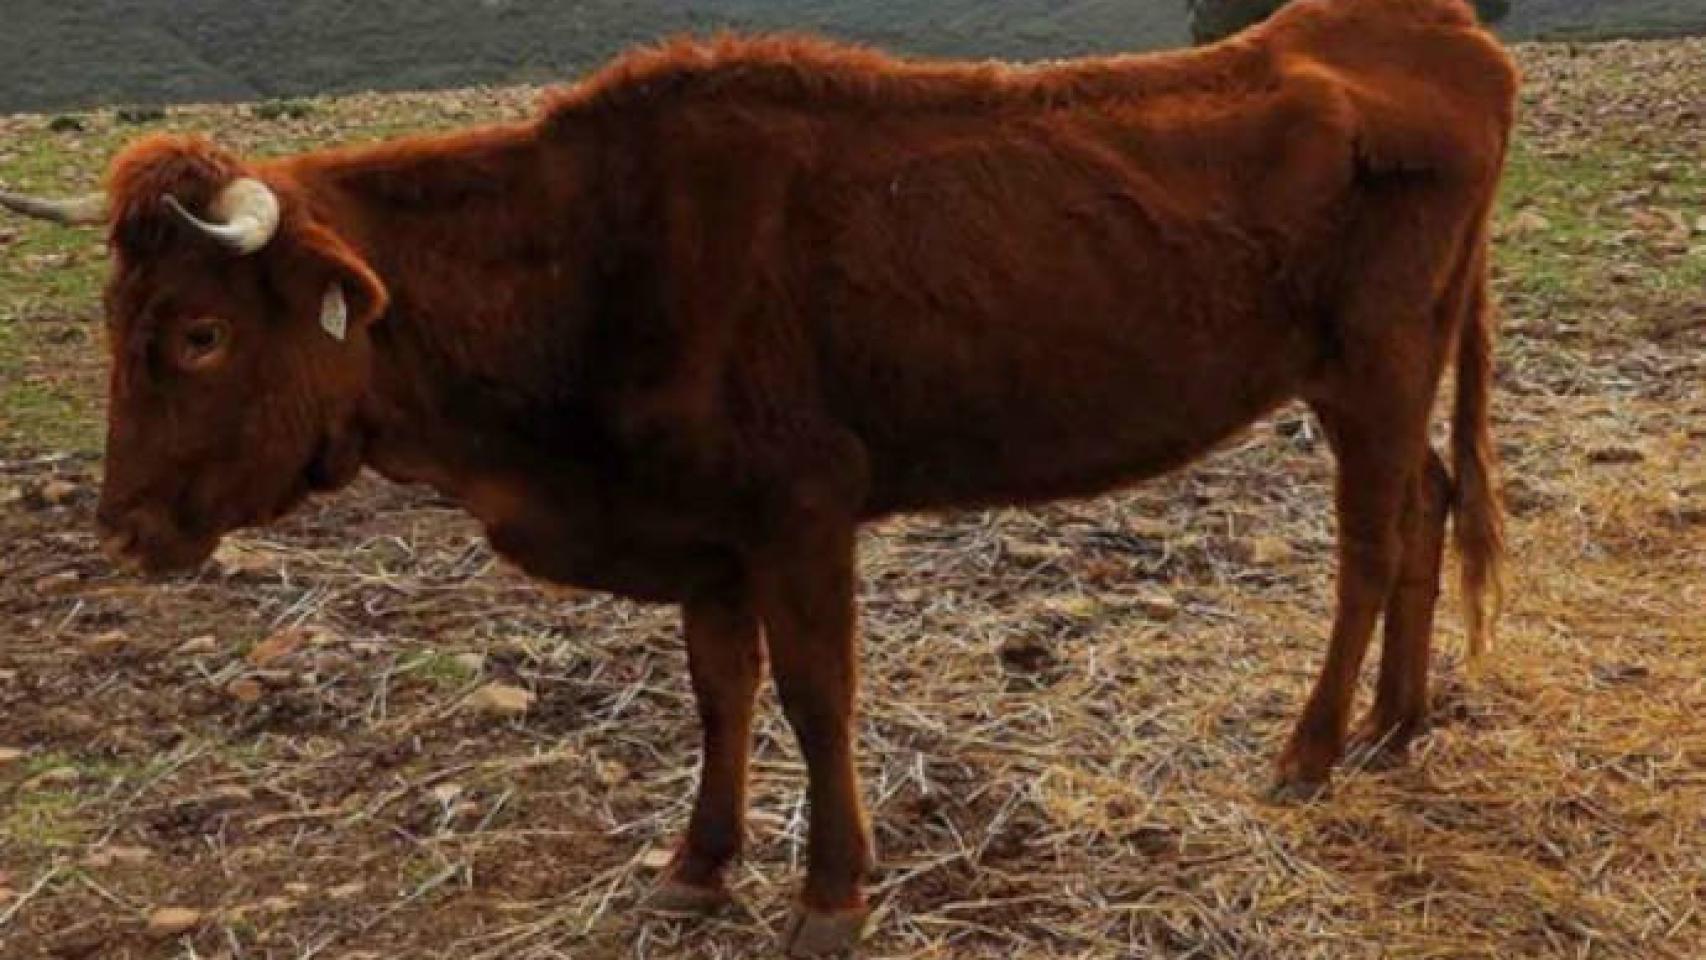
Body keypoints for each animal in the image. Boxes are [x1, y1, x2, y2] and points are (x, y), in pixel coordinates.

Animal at [3, 0, 1521, 954]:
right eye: (115, 319)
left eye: (198, 333)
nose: (122, 530)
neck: (591, 260)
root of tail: (1428, 26)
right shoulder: (702, 532)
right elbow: (718, 695)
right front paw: (697, 866)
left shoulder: (800, 514)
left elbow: (813, 696)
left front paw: (832, 891)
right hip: (1383, 372)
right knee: (1428, 502)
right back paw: (1398, 726)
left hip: (1375, 361)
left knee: (1372, 538)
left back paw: (1313, 747)